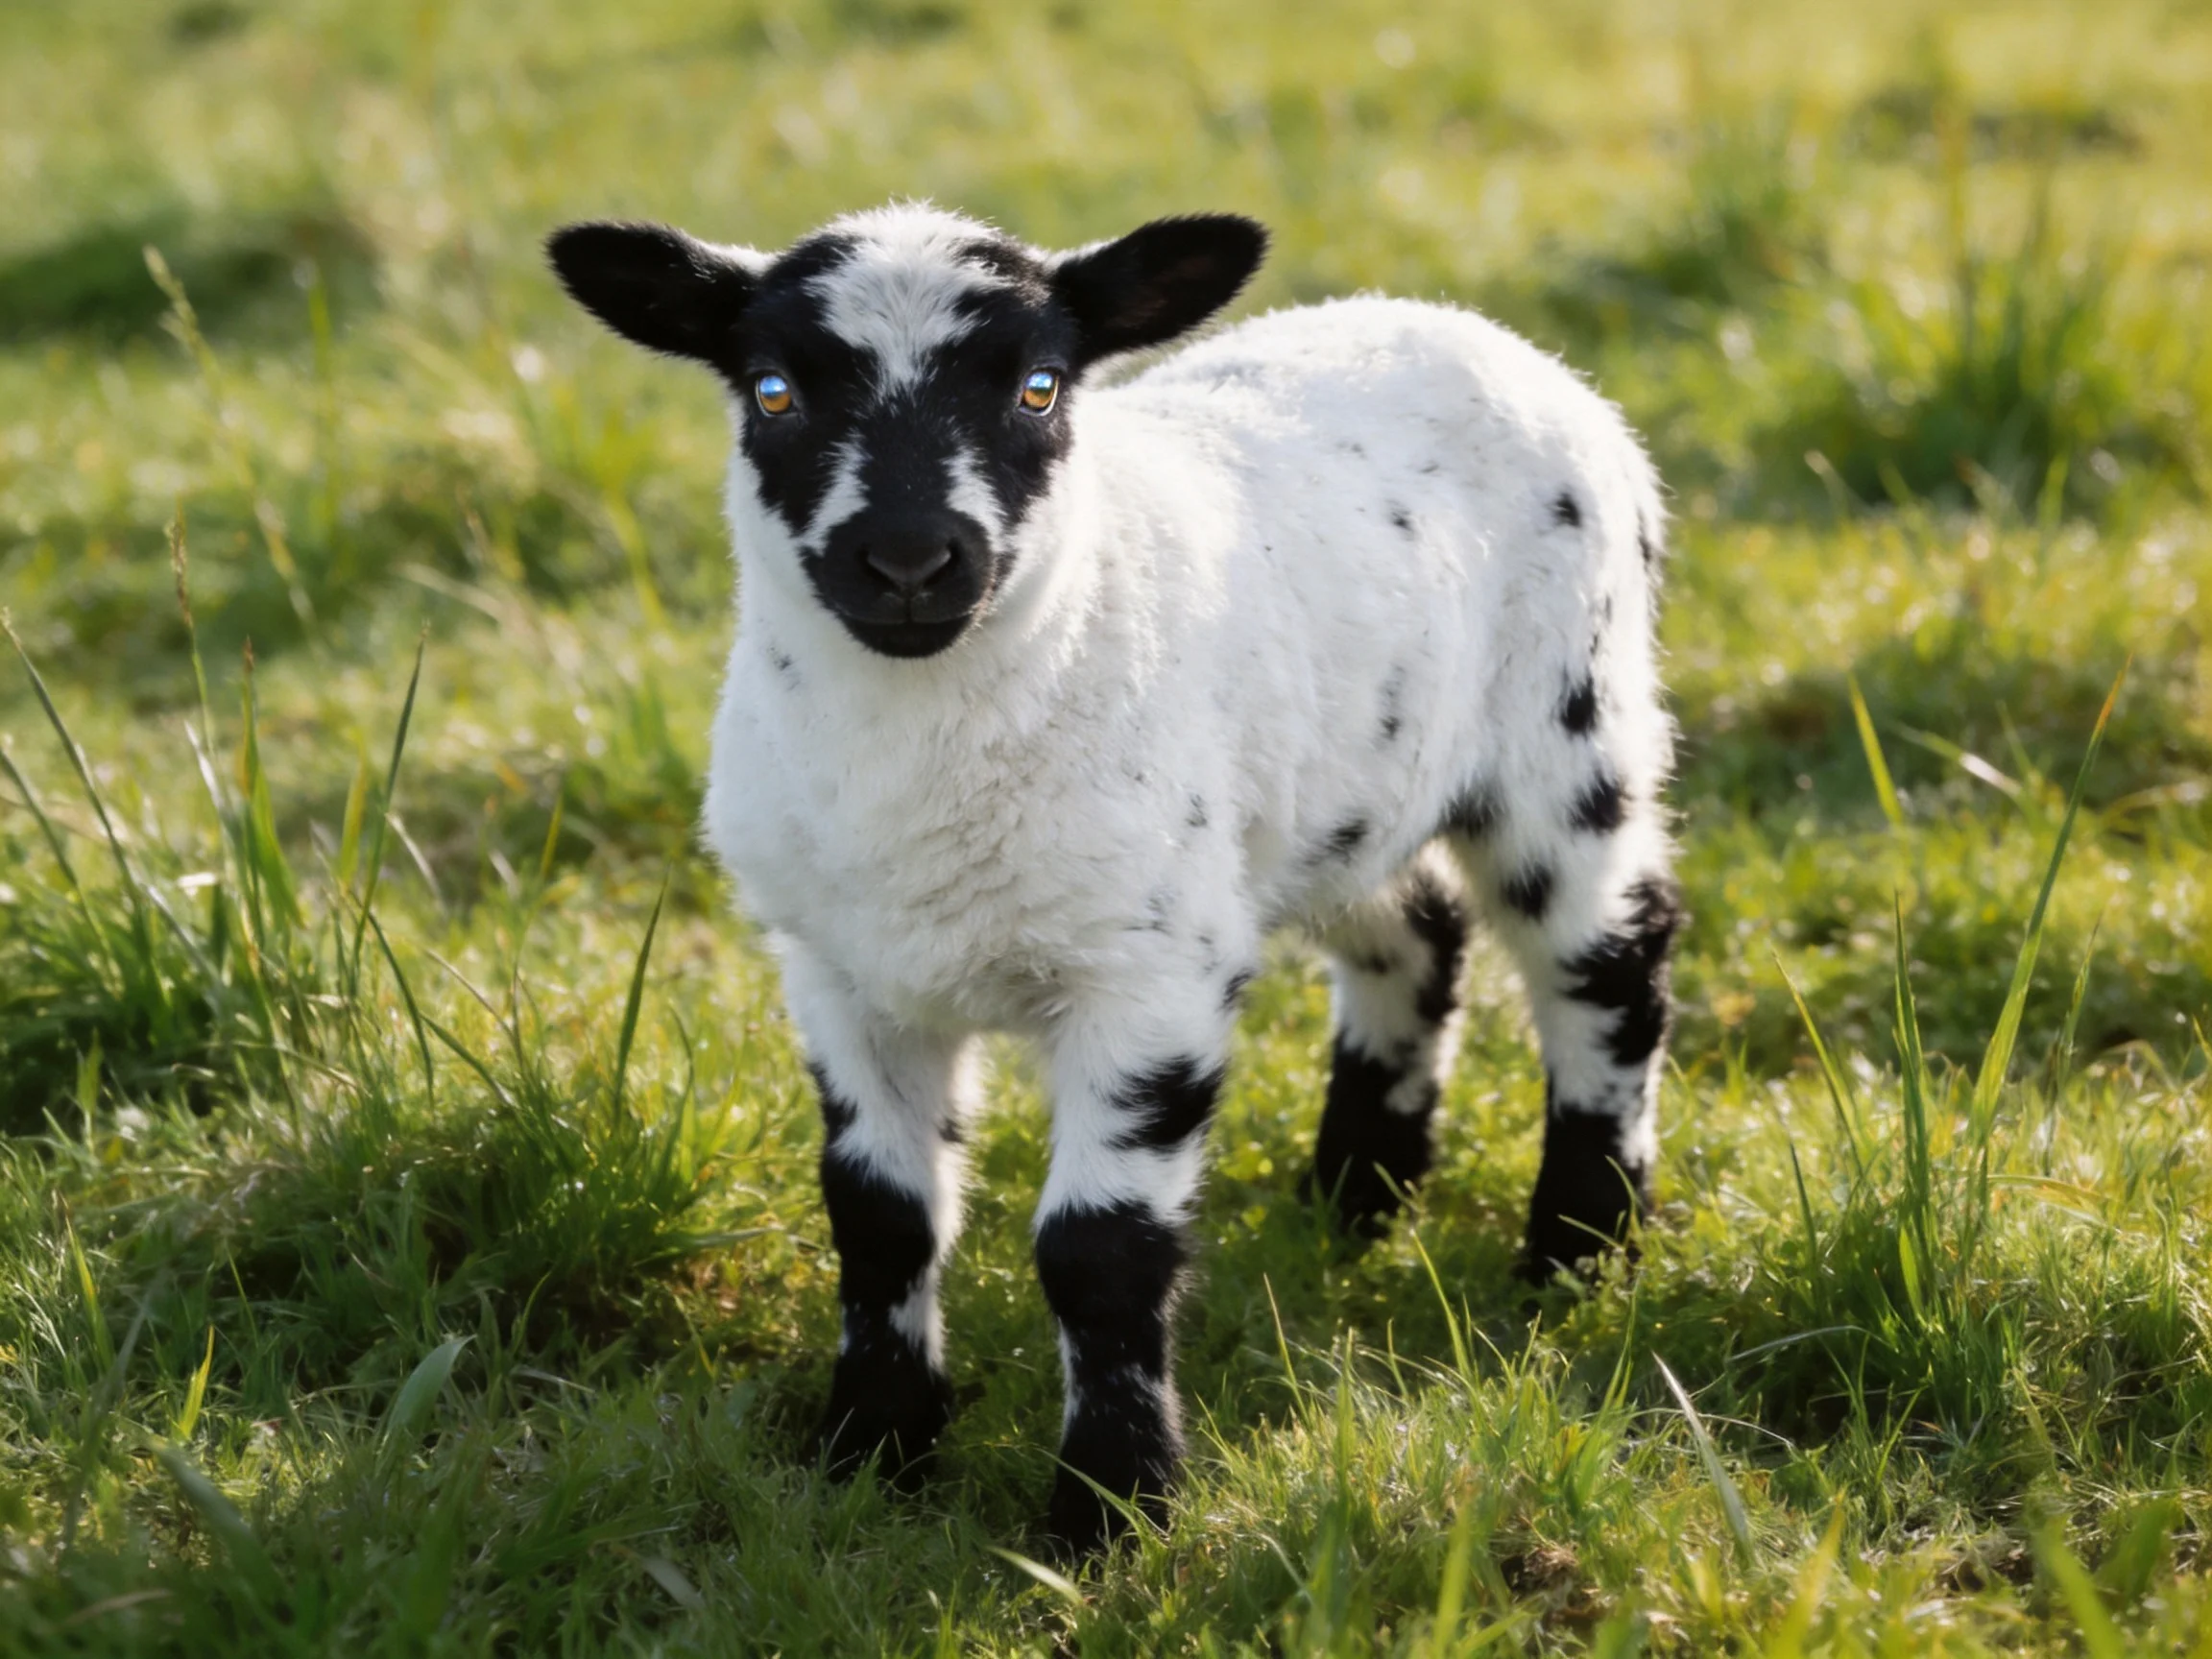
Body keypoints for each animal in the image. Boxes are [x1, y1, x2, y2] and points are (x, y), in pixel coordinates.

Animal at [547, 203, 1681, 1552]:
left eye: (1039, 388)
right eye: (772, 392)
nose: (910, 559)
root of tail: (1473, 331)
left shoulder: (1148, 974)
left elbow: (1101, 1251)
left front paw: (1111, 1507)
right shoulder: (838, 972)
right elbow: (878, 1219)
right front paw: (871, 1449)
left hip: (1570, 732)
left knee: (1611, 963)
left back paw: (1579, 1251)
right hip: (1331, 795)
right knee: (1418, 936)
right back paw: (1354, 1196)